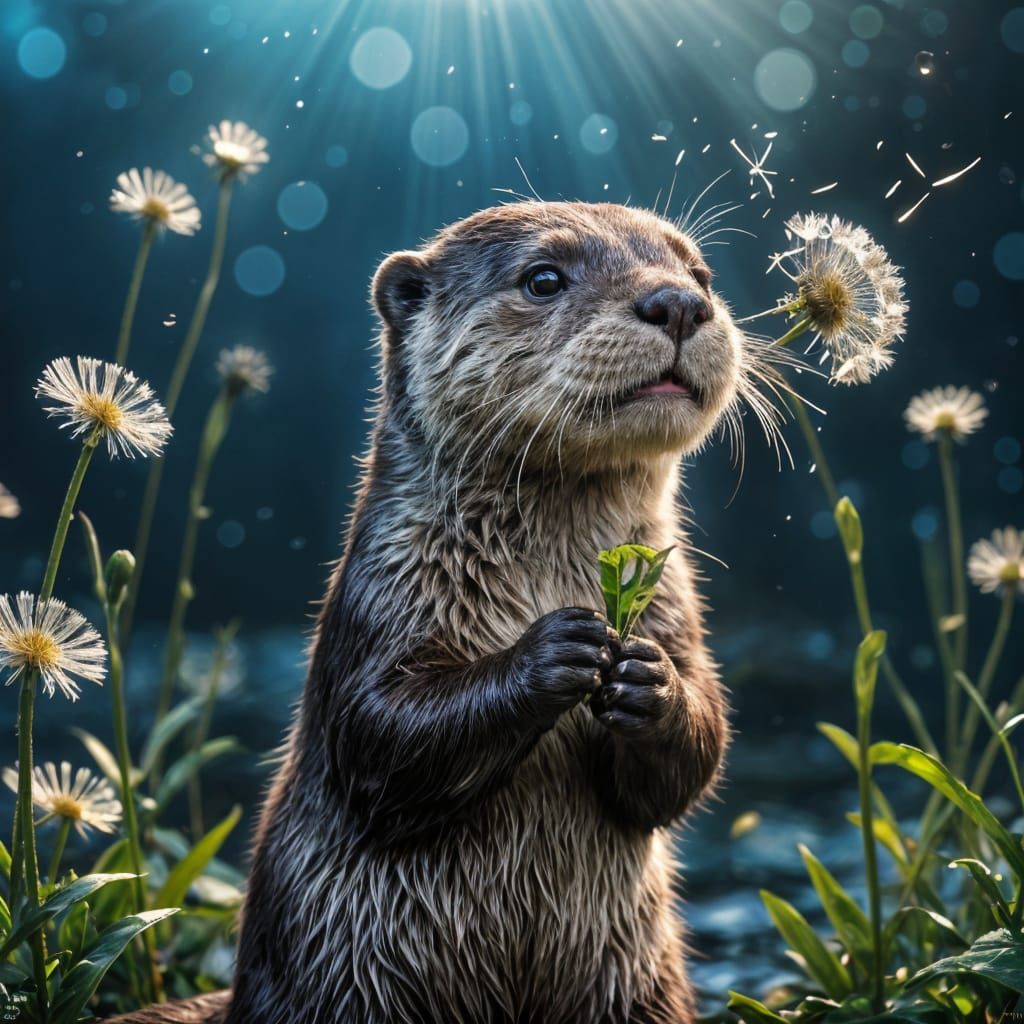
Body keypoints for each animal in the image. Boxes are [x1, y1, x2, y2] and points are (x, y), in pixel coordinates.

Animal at [112, 200, 749, 1023]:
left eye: (700, 272)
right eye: (544, 278)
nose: (676, 302)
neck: (549, 569)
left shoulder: (674, 605)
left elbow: (688, 765)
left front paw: (652, 682)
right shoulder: (382, 592)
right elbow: (380, 734)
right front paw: (554, 650)